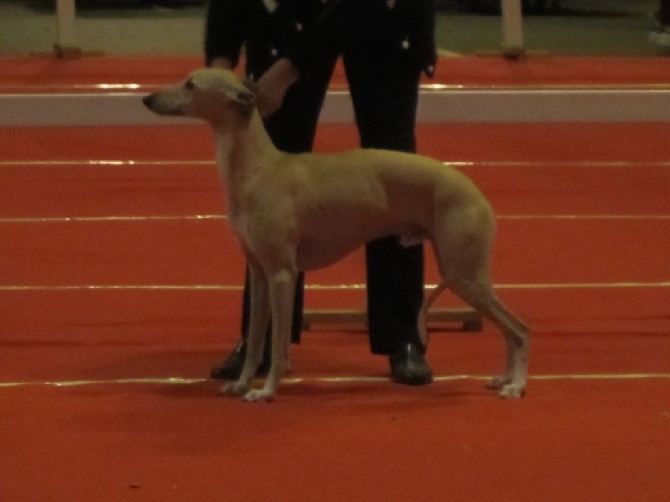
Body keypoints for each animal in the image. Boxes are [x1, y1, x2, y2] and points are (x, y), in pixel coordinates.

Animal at [144, 68, 532, 402]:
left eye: (191, 85)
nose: (147, 99)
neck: (258, 168)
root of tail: (476, 191)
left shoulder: (282, 274)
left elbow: (279, 345)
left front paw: (266, 391)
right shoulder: (259, 272)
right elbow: (255, 340)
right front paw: (241, 384)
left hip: (464, 275)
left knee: (519, 330)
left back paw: (516, 385)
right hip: (464, 274)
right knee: (510, 331)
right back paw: (504, 379)